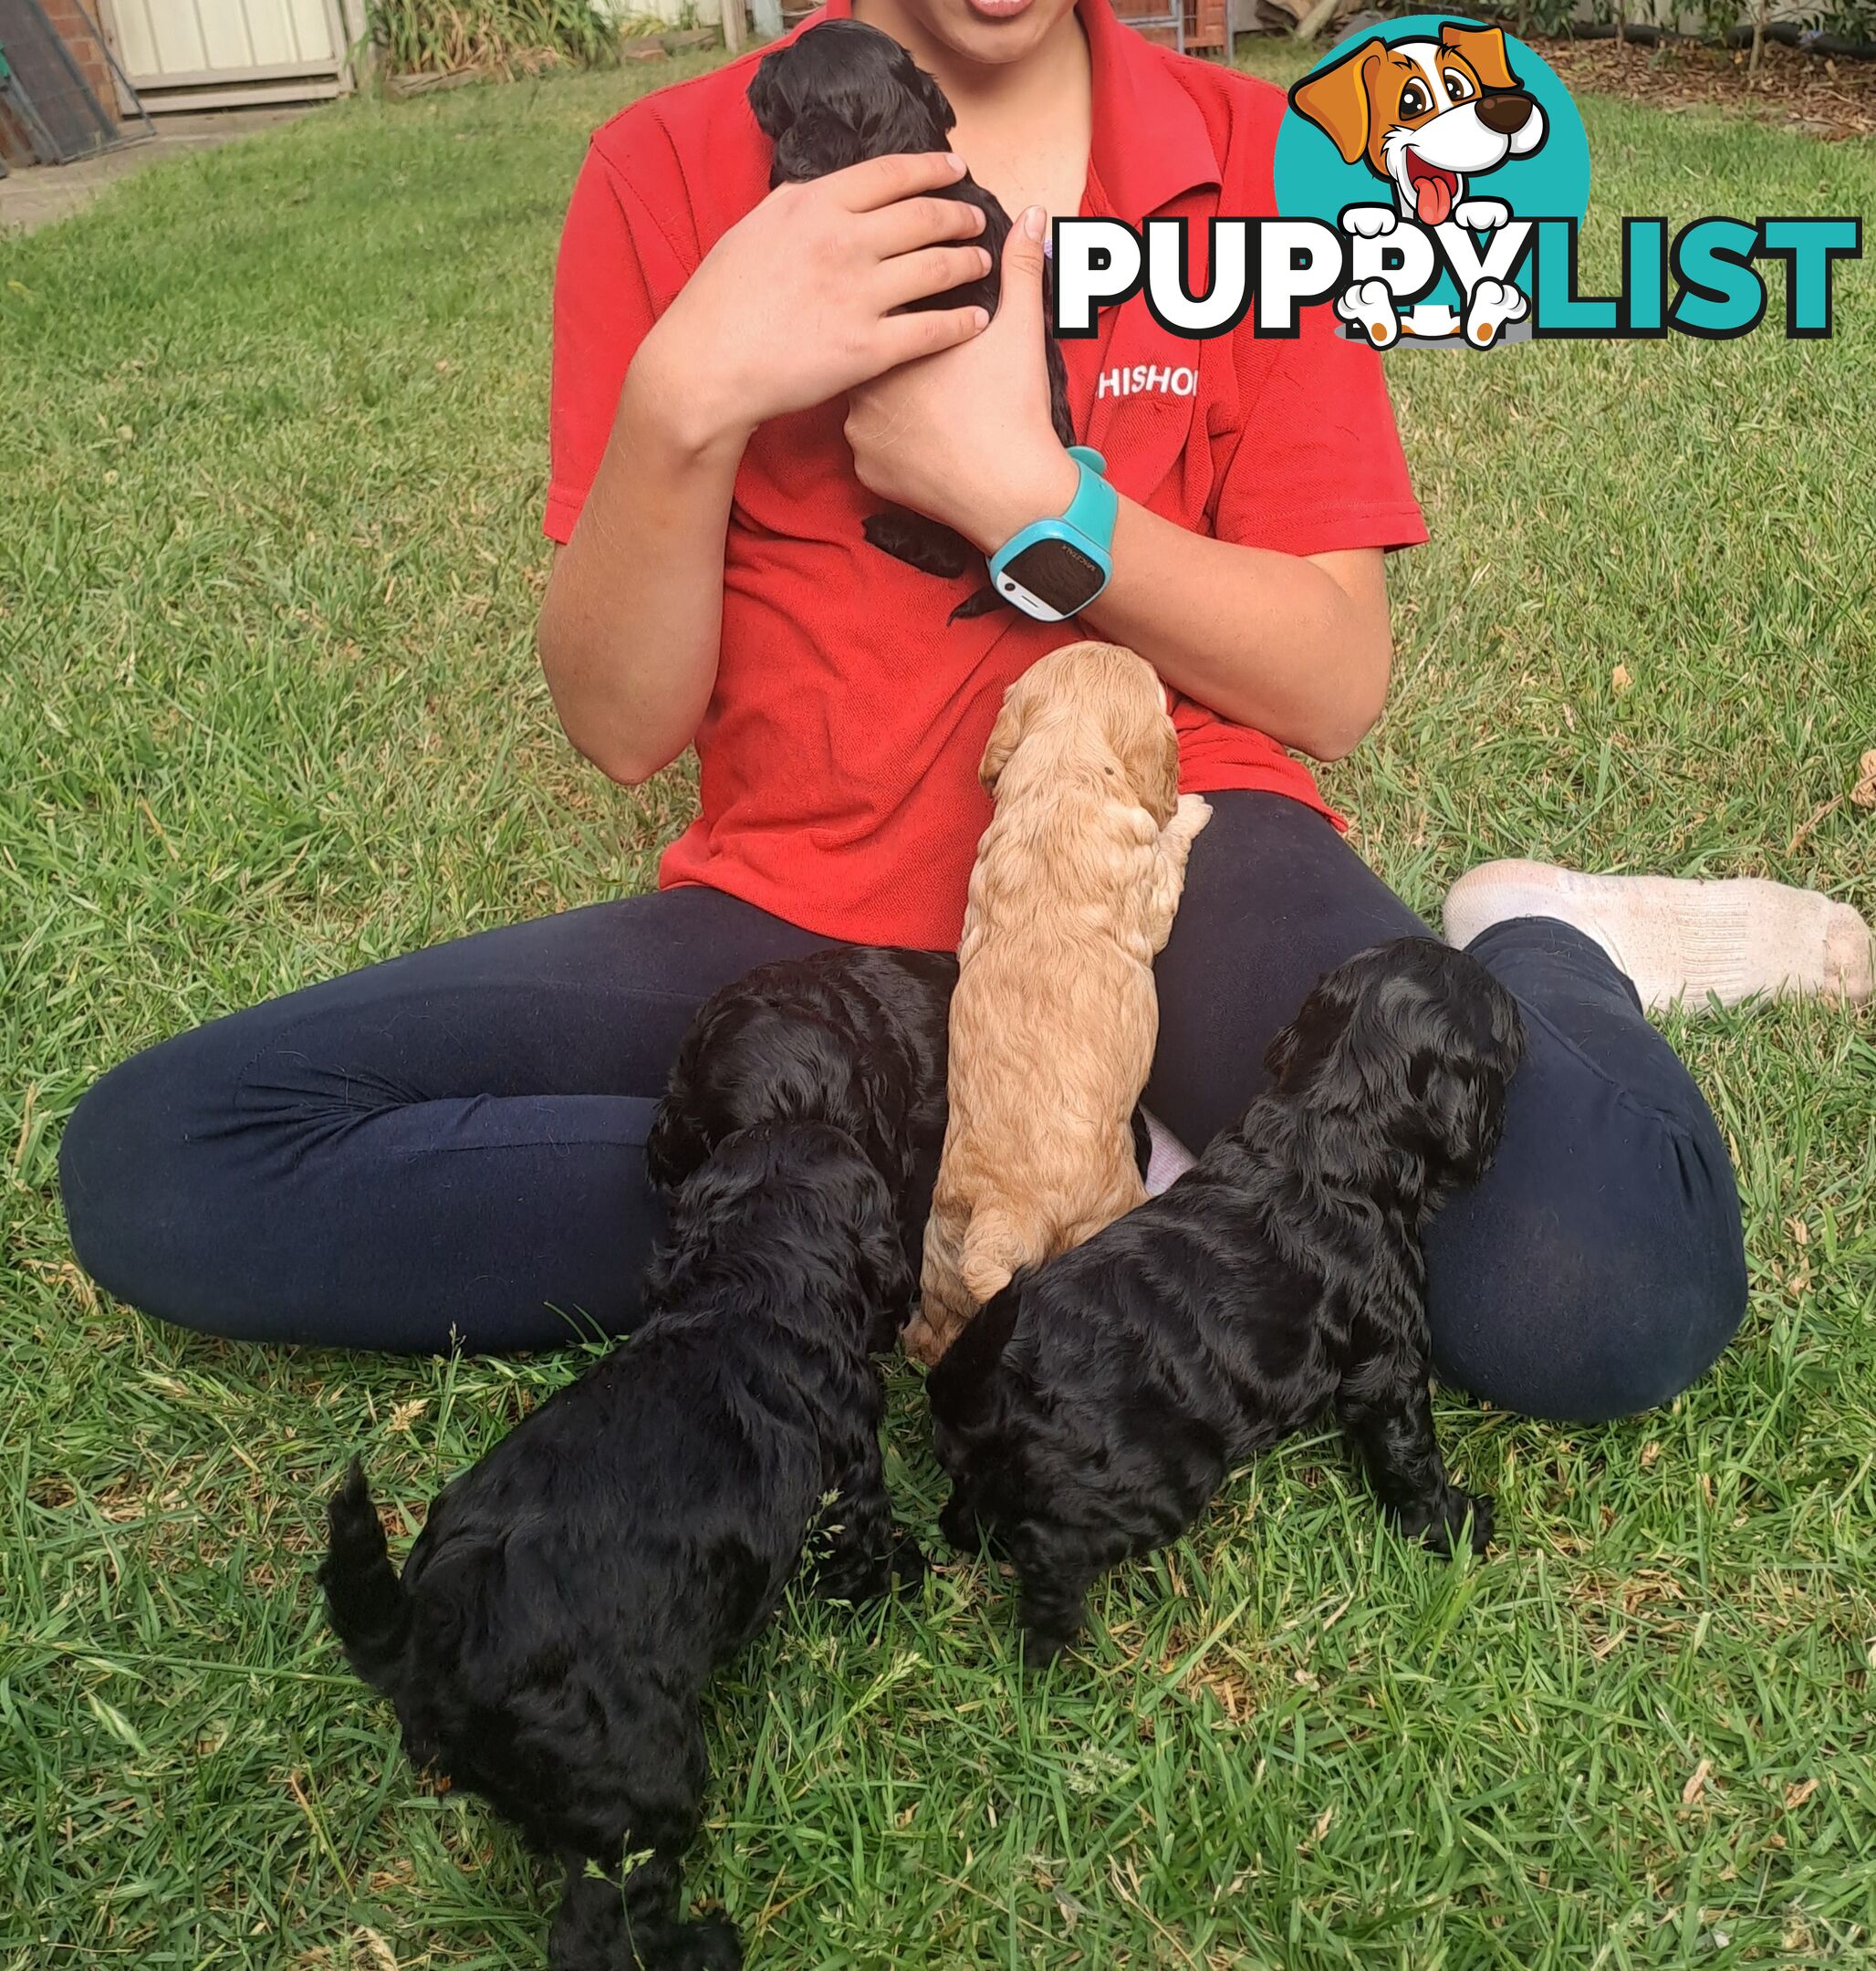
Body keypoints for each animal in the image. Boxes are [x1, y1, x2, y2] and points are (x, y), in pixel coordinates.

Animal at [325, 1127, 922, 1971]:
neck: (753, 1292)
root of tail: (424, 1630)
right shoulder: (851, 1485)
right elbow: (864, 1555)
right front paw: (912, 1568)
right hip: (640, 1778)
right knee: (603, 1927)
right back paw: (706, 1946)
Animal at [922, 938, 1521, 1663]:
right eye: (1506, 1031)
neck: (1330, 1122)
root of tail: (987, 1391)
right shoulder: (1389, 1350)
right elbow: (1407, 1447)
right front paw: (1456, 1525)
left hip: (987, 1467)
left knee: (966, 1512)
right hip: (1162, 1475)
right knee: (1053, 1548)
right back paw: (1053, 1646)